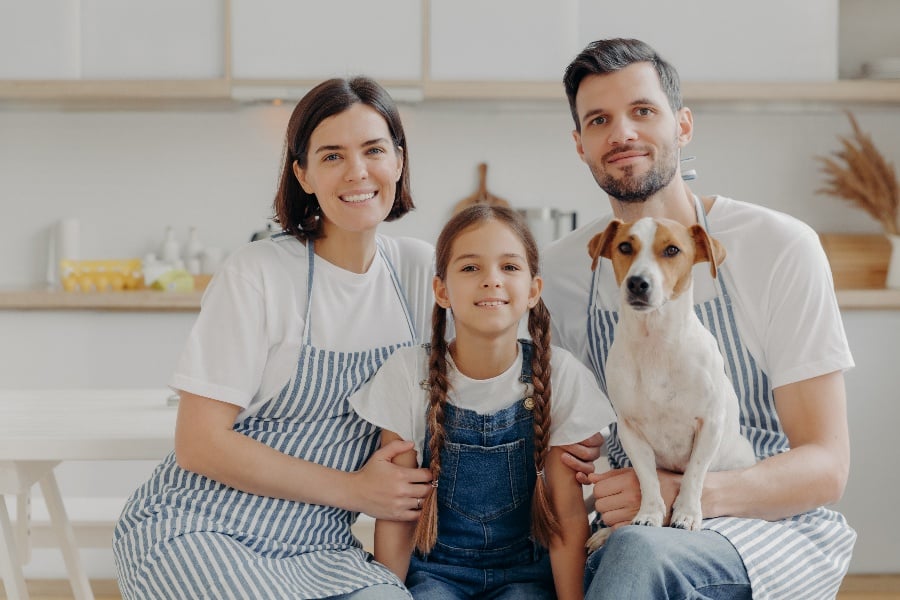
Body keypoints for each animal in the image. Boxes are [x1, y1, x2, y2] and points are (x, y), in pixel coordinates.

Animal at [580, 218, 756, 552]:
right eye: (625, 246)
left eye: (672, 250)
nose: (637, 283)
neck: (655, 344)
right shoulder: (631, 430)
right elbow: (648, 479)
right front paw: (649, 514)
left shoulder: (710, 424)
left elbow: (694, 474)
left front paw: (686, 514)